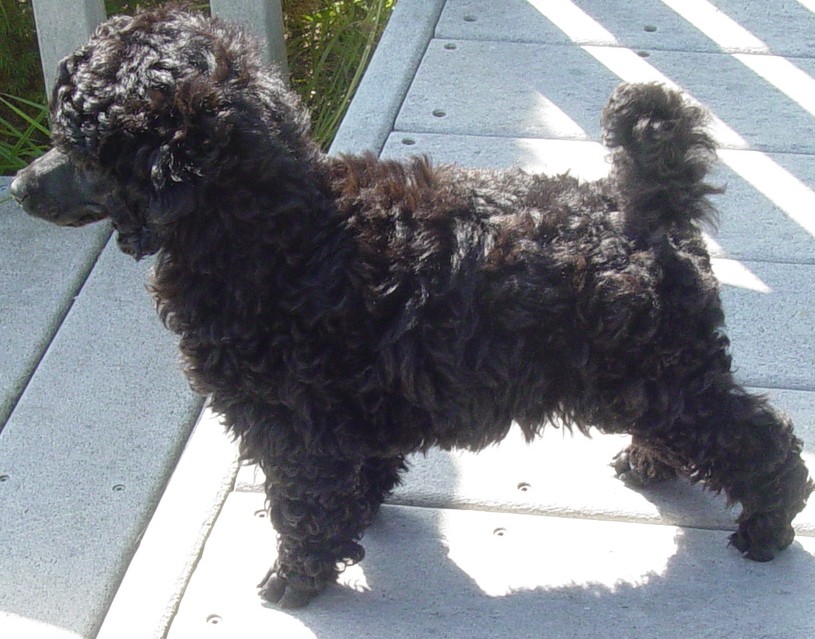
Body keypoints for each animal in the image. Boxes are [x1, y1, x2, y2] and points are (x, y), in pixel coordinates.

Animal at [11, 7, 812, 608]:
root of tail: (648, 206)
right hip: (651, 373)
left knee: (758, 439)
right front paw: (357, 518)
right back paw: (651, 463)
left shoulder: (294, 423)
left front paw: (294, 580)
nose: (18, 186)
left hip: (663, 371)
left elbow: (302, 505)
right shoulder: (349, 411)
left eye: (81, 148)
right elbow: (356, 477)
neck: (274, 227)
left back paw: (767, 524)